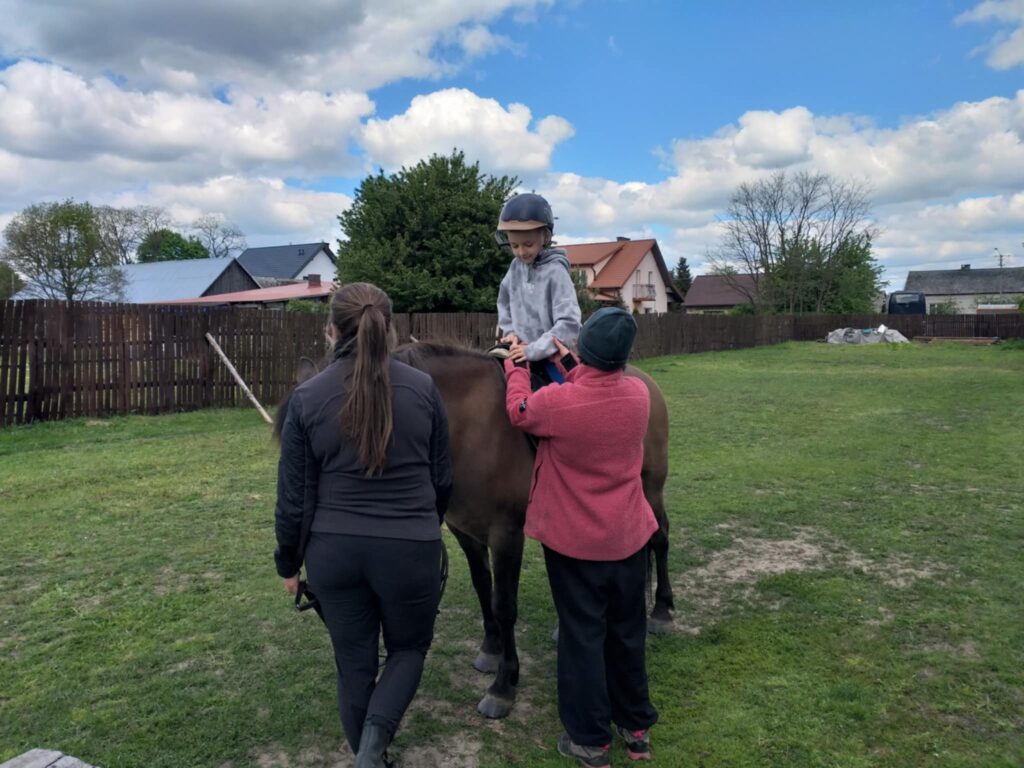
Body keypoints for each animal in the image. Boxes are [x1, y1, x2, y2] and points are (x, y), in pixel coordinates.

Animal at [276, 342, 674, 720]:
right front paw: (490, 650)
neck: (470, 431)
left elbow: (504, 604)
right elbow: (483, 587)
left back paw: (662, 611)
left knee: (659, 537)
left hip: (650, 488)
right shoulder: (464, 530)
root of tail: (641, 380)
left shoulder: (507, 535)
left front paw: (504, 686)